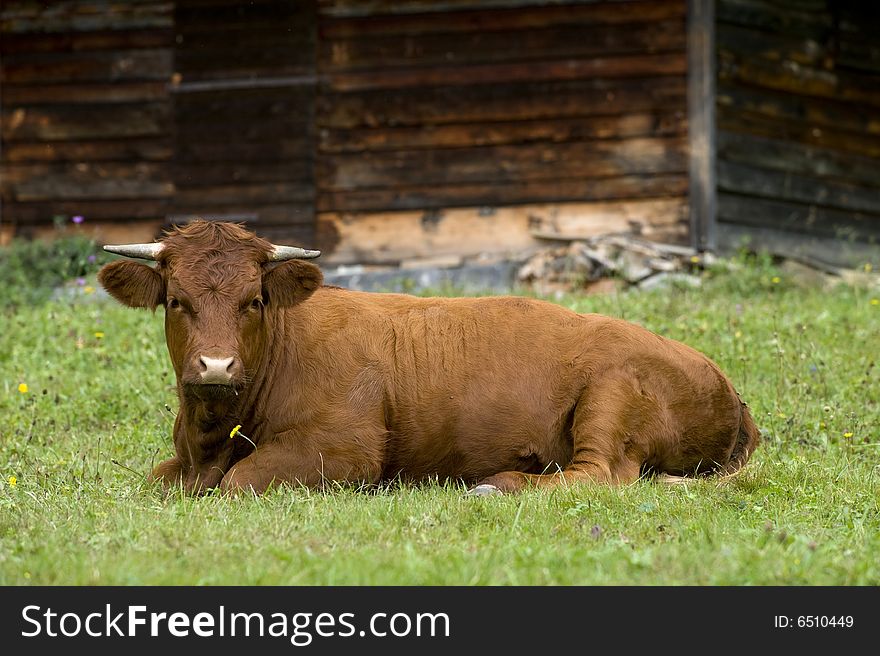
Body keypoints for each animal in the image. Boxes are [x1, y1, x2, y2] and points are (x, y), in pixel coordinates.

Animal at [98, 219, 756, 492]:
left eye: (254, 300)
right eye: (176, 300)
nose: (215, 368)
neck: (213, 437)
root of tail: (725, 384)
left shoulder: (345, 450)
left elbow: (239, 483)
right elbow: (158, 481)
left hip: (611, 395)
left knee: (601, 476)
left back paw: (498, 484)